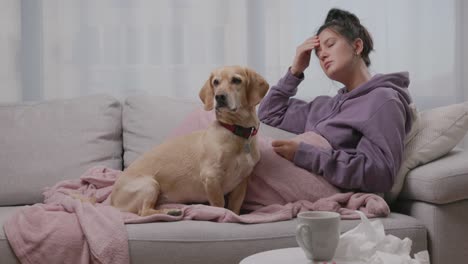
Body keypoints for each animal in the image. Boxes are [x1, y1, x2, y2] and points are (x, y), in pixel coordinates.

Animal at [110, 66, 268, 217]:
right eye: (215, 82)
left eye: (236, 80)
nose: (219, 97)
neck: (236, 131)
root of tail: (111, 201)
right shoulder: (211, 177)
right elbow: (219, 205)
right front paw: (222, 214)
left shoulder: (241, 183)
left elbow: (235, 208)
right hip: (150, 184)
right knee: (143, 212)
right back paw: (170, 212)